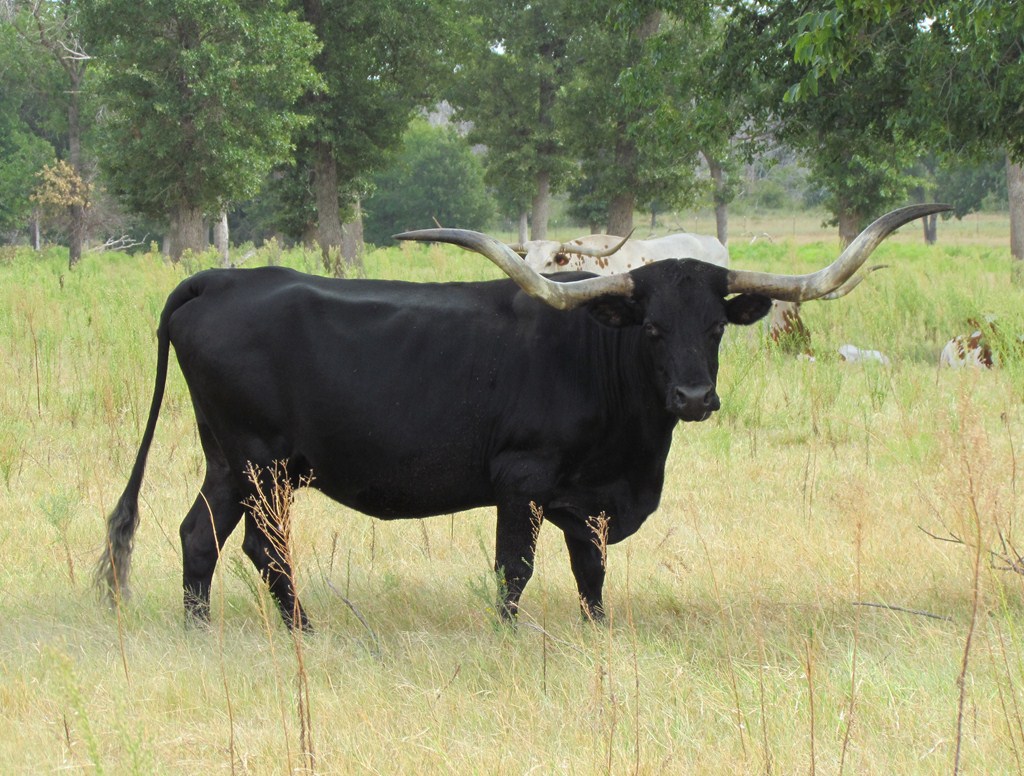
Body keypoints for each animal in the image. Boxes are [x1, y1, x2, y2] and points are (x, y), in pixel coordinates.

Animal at [96, 204, 947, 630]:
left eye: (714, 327)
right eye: (651, 327)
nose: (693, 398)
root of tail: (220, 280)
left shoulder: (589, 502)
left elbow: (592, 577)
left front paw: (598, 636)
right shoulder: (521, 479)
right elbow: (515, 569)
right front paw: (506, 637)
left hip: (244, 464)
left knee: (225, 542)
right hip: (252, 458)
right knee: (228, 542)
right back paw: (233, 631)